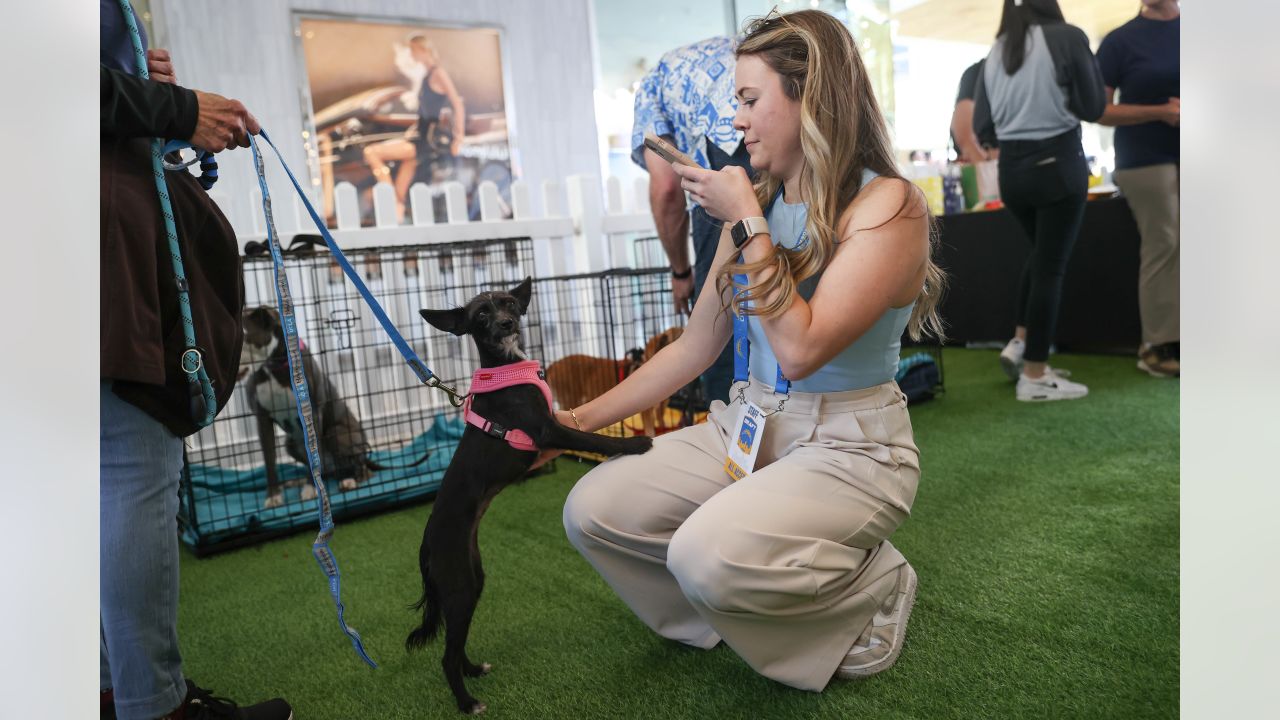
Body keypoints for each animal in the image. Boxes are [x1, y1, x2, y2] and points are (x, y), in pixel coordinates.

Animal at [409, 278, 650, 707]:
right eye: (481, 315)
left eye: (508, 303)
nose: (506, 323)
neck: (505, 366)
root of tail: (426, 545)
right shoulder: (547, 430)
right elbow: (596, 438)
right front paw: (635, 445)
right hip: (459, 585)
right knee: (446, 657)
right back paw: (467, 701)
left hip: (472, 579)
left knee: (456, 642)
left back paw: (473, 670)